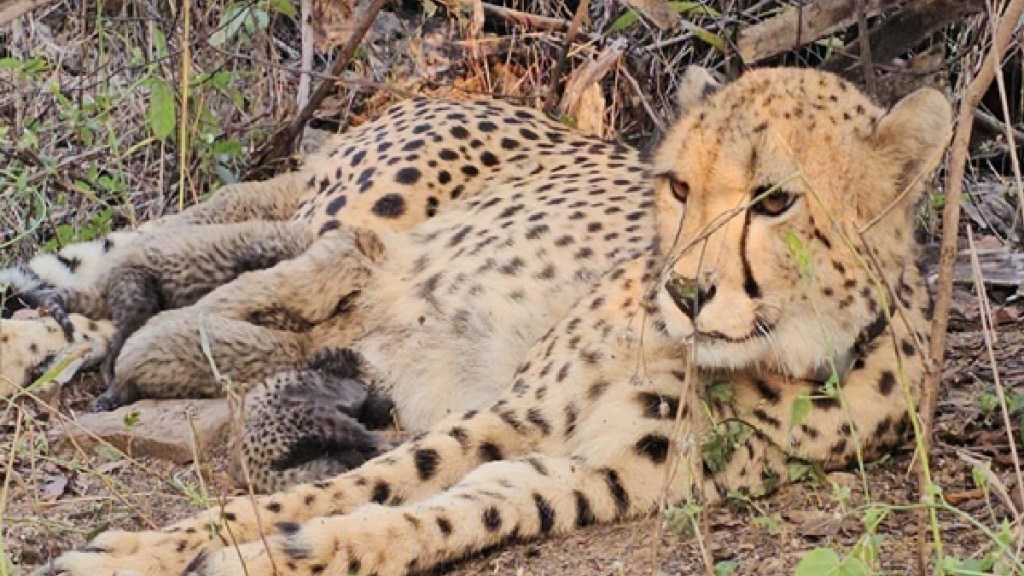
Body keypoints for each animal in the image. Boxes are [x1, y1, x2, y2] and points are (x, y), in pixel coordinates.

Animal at [25, 65, 951, 576]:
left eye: (775, 201)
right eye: (680, 186)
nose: (684, 292)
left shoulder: (596, 474)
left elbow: (441, 513)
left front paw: (289, 553)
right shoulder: (515, 412)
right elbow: (361, 482)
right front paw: (146, 551)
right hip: (355, 211)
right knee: (111, 289)